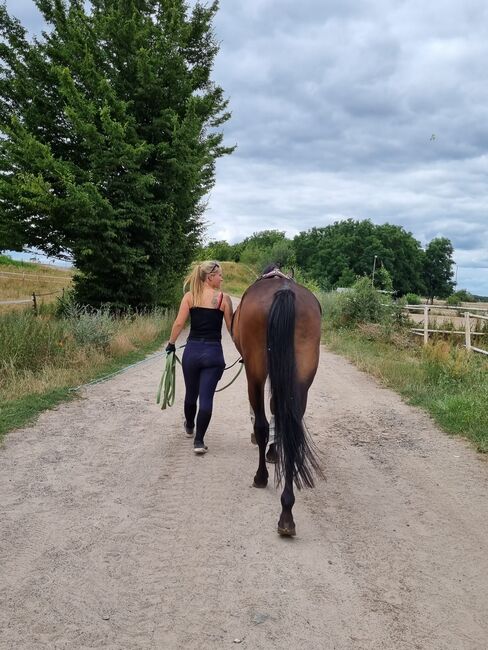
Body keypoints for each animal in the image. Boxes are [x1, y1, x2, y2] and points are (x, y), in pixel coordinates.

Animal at [233, 266, 324, 536]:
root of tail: (284, 292)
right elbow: (277, 411)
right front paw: (275, 451)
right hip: (301, 379)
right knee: (291, 426)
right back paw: (287, 511)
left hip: (255, 372)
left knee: (262, 425)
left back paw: (261, 477)